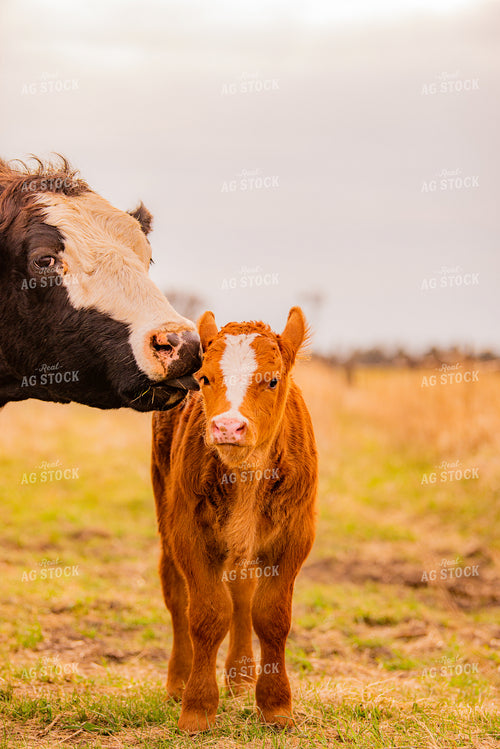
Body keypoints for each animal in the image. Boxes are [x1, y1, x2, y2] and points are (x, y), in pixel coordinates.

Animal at [152, 306, 318, 732]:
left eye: (272, 379)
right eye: (204, 378)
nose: (228, 426)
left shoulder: (295, 537)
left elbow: (271, 615)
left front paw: (276, 705)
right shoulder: (189, 534)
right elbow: (208, 614)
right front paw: (196, 708)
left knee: (242, 594)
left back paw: (241, 677)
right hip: (164, 510)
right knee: (176, 593)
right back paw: (177, 680)